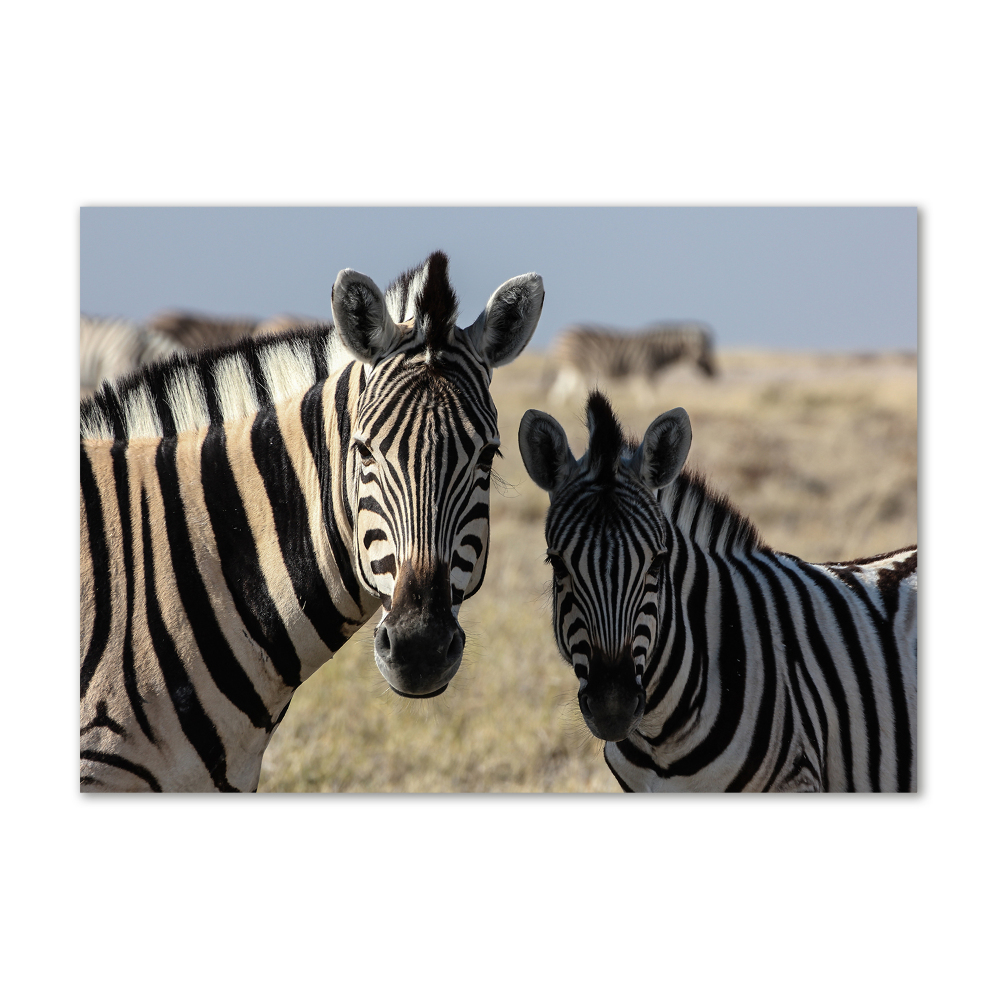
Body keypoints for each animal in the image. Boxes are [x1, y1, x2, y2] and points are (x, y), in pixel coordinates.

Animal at [548, 318, 720, 400]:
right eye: (705, 352)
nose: (715, 374)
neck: (659, 351)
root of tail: (562, 334)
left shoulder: (646, 374)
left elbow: (647, 394)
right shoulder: (644, 370)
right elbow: (648, 395)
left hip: (570, 368)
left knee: (562, 388)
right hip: (577, 366)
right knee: (570, 387)